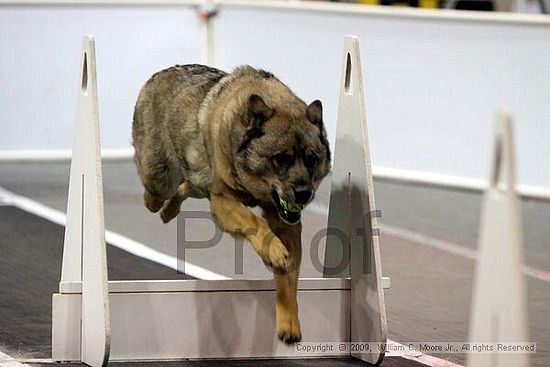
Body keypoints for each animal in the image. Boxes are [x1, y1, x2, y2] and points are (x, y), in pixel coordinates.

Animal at [133, 64, 332, 344]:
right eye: (281, 159)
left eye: (312, 159)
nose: (304, 193)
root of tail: (159, 74)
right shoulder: (223, 202)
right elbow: (254, 221)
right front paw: (272, 251)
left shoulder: (286, 224)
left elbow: (287, 278)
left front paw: (289, 321)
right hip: (160, 177)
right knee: (156, 192)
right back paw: (157, 204)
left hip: (197, 181)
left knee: (185, 187)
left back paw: (169, 211)